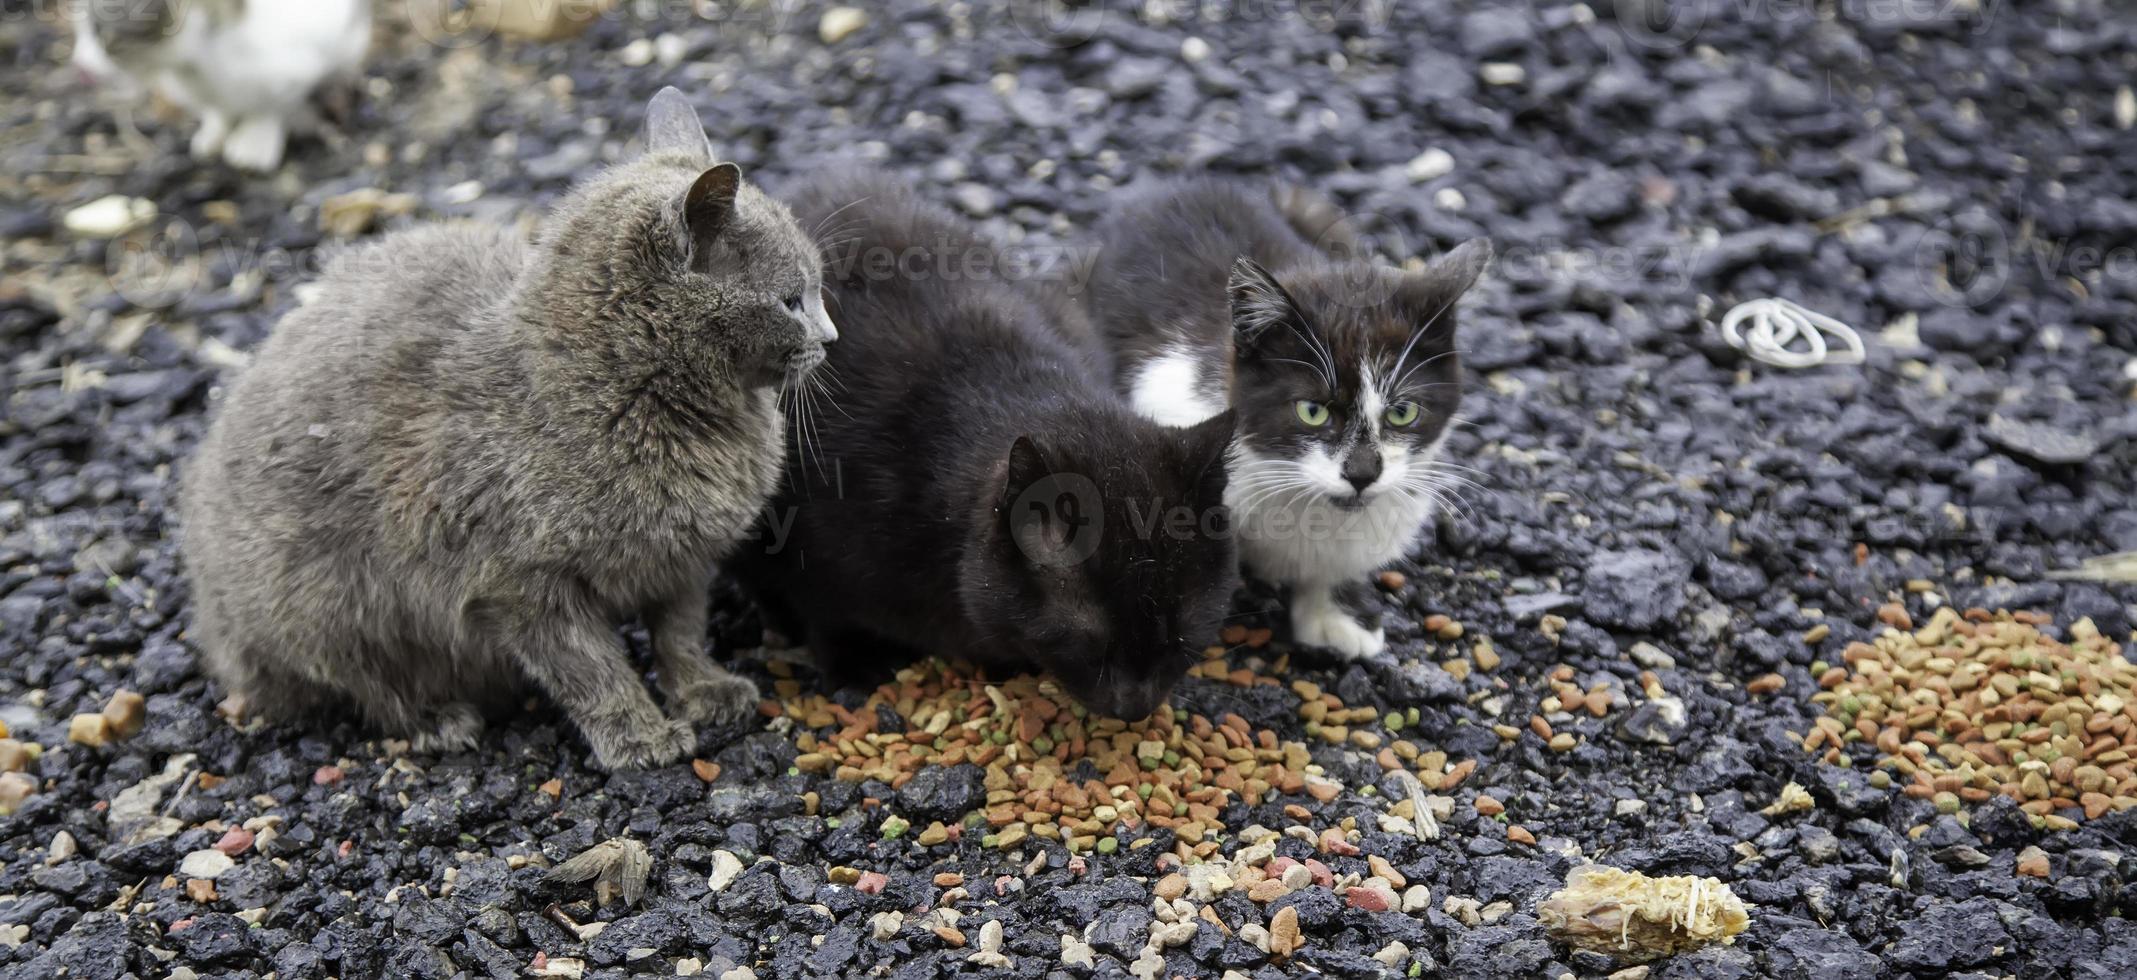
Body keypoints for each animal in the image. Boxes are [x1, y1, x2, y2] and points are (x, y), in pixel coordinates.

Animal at [69, 0, 371, 171]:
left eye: (99, 31)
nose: (79, 66)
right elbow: (219, 113)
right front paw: (212, 139)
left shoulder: (291, 74)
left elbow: (269, 111)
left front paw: (252, 149)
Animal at [177, 88, 833, 772]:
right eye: (791, 301)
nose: (831, 337)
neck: (633, 395)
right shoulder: (518, 585)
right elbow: (592, 670)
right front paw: (640, 737)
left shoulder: (684, 560)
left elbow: (680, 634)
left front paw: (706, 692)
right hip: (327, 604)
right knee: (367, 684)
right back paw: (438, 719)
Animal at [730, 170, 1248, 721]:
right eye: (1091, 645)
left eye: (1181, 640)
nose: (1135, 706)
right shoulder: (814, 554)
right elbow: (827, 618)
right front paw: (857, 668)